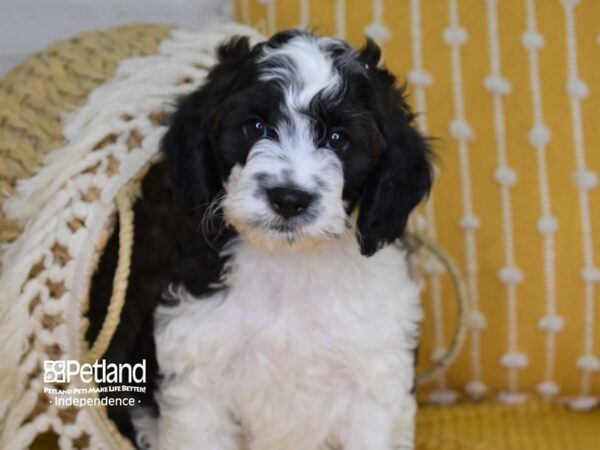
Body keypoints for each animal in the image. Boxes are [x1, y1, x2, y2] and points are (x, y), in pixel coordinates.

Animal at [142, 29, 432, 450]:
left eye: (338, 138)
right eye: (256, 127)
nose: (289, 199)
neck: (289, 265)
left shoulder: (372, 379)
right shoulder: (199, 374)